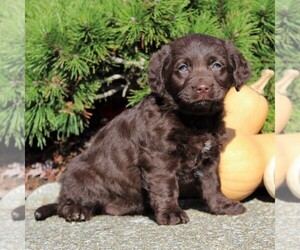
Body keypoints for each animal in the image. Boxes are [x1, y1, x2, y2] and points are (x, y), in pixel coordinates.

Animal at [34, 33, 251, 225]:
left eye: (217, 65)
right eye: (183, 67)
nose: (203, 88)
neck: (195, 119)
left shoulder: (209, 157)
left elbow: (212, 183)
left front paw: (222, 206)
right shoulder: (159, 156)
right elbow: (166, 186)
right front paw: (171, 213)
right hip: (80, 174)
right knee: (65, 203)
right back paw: (76, 211)